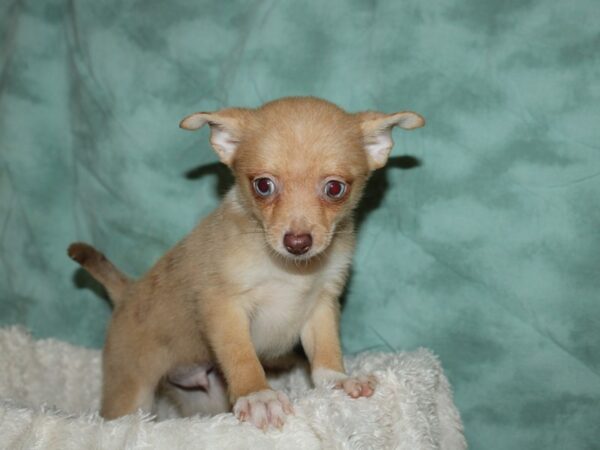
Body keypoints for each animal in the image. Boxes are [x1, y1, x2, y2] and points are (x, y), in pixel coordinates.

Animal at [68, 97, 424, 428]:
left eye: (335, 188)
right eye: (263, 186)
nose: (297, 242)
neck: (291, 271)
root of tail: (127, 291)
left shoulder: (322, 304)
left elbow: (325, 349)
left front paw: (337, 380)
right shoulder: (224, 307)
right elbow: (242, 356)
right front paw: (258, 395)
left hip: (204, 398)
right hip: (131, 392)